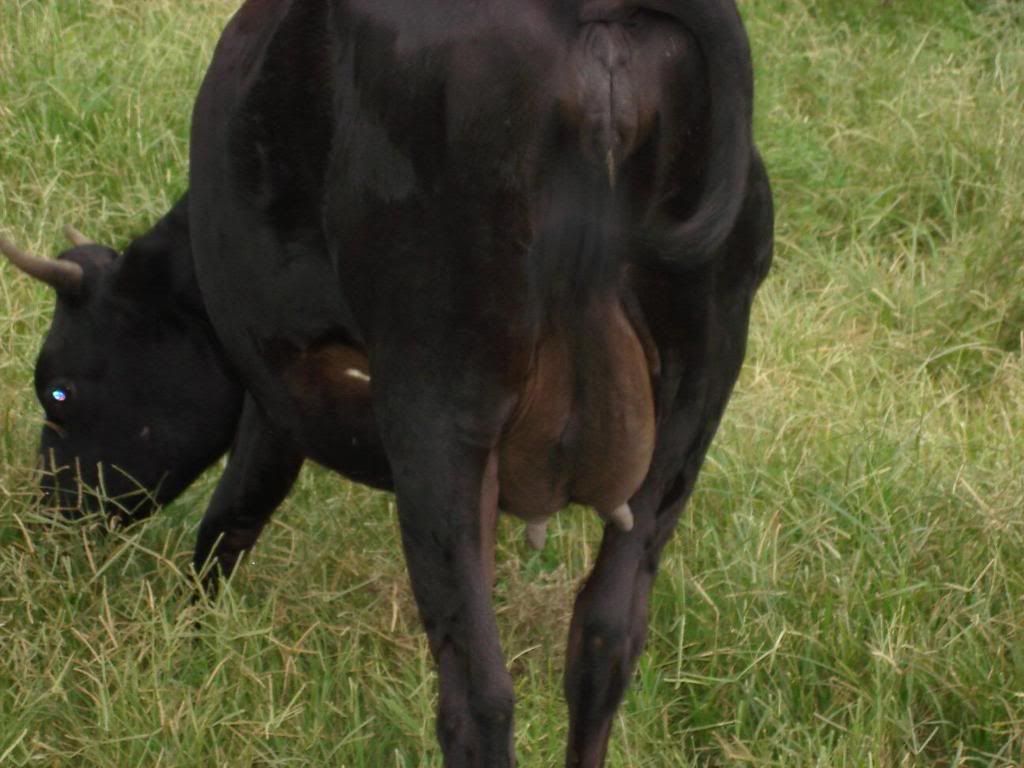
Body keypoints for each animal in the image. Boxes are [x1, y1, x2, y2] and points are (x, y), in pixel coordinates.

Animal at [5, 0, 773, 765]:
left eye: (58, 394)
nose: (50, 516)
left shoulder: (277, 377)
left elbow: (233, 514)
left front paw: (189, 643)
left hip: (436, 408)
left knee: (479, 696)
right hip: (690, 407)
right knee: (605, 640)